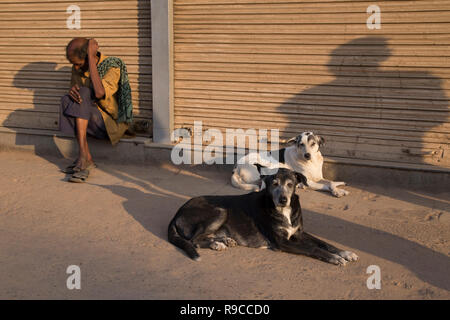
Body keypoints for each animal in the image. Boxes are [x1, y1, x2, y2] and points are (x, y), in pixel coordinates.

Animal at [169, 168, 358, 264]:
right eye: (274, 184)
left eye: (290, 184)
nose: (283, 199)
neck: (284, 211)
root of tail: (178, 211)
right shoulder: (282, 242)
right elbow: (313, 248)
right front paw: (335, 258)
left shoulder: (299, 233)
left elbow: (324, 243)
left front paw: (345, 253)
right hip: (220, 210)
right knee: (194, 239)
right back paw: (217, 244)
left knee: (204, 237)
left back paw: (224, 241)